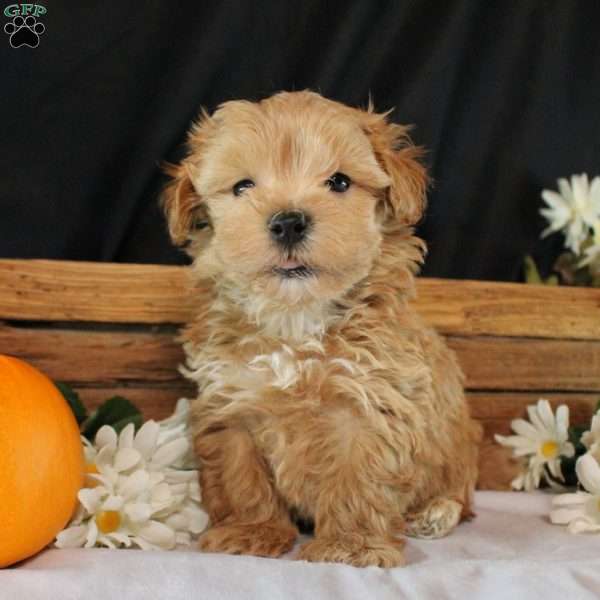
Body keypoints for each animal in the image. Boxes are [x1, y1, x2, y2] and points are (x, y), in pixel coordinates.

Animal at [162, 90, 480, 568]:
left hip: (457, 451)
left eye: (340, 182)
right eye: (242, 187)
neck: (296, 322)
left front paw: (350, 545)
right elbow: (241, 479)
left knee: (459, 493)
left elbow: (357, 482)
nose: (288, 221)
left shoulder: (369, 405)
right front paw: (251, 531)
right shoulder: (232, 405)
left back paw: (435, 513)